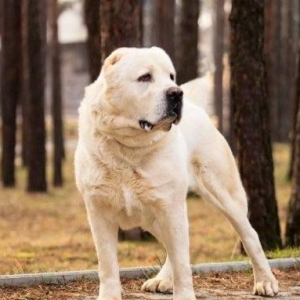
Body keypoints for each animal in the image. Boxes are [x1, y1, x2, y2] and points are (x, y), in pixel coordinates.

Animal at [75, 47, 278, 300]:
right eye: (145, 77)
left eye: (171, 76)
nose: (176, 93)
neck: (129, 149)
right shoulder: (99, 212)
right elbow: (107, 265)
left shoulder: (171, 208)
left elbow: (182, 262)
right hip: (154, 216)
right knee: (171, 248)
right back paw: (161, 280)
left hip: (223, 195)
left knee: (250, 235)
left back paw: (265, 282)